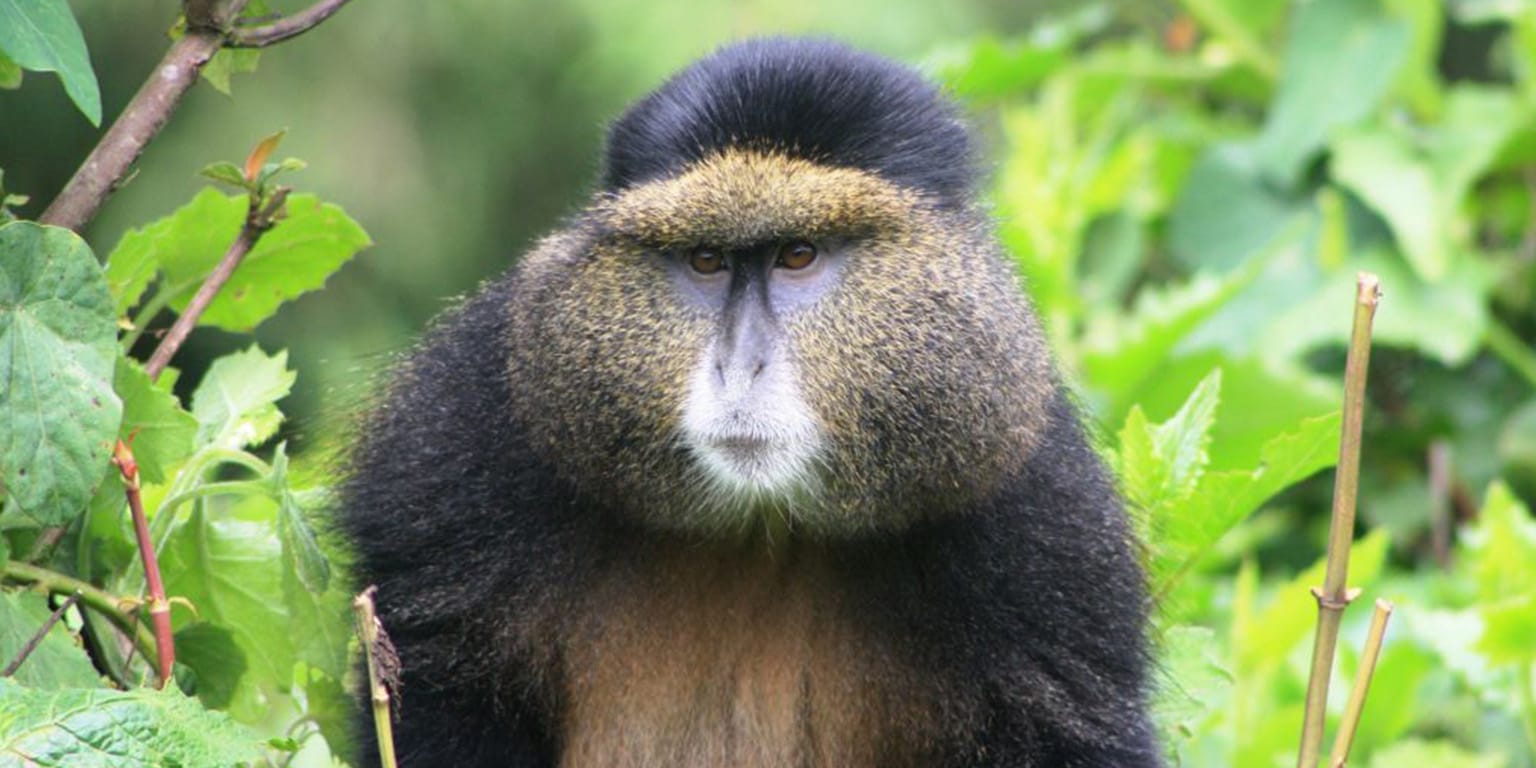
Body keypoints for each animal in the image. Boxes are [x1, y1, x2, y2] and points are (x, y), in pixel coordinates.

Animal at [340, 37, 1160, 768]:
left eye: (798, 255)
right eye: (706, 260)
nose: (740, 366)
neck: (758, 527)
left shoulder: (1051, 542)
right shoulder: (459, 446)